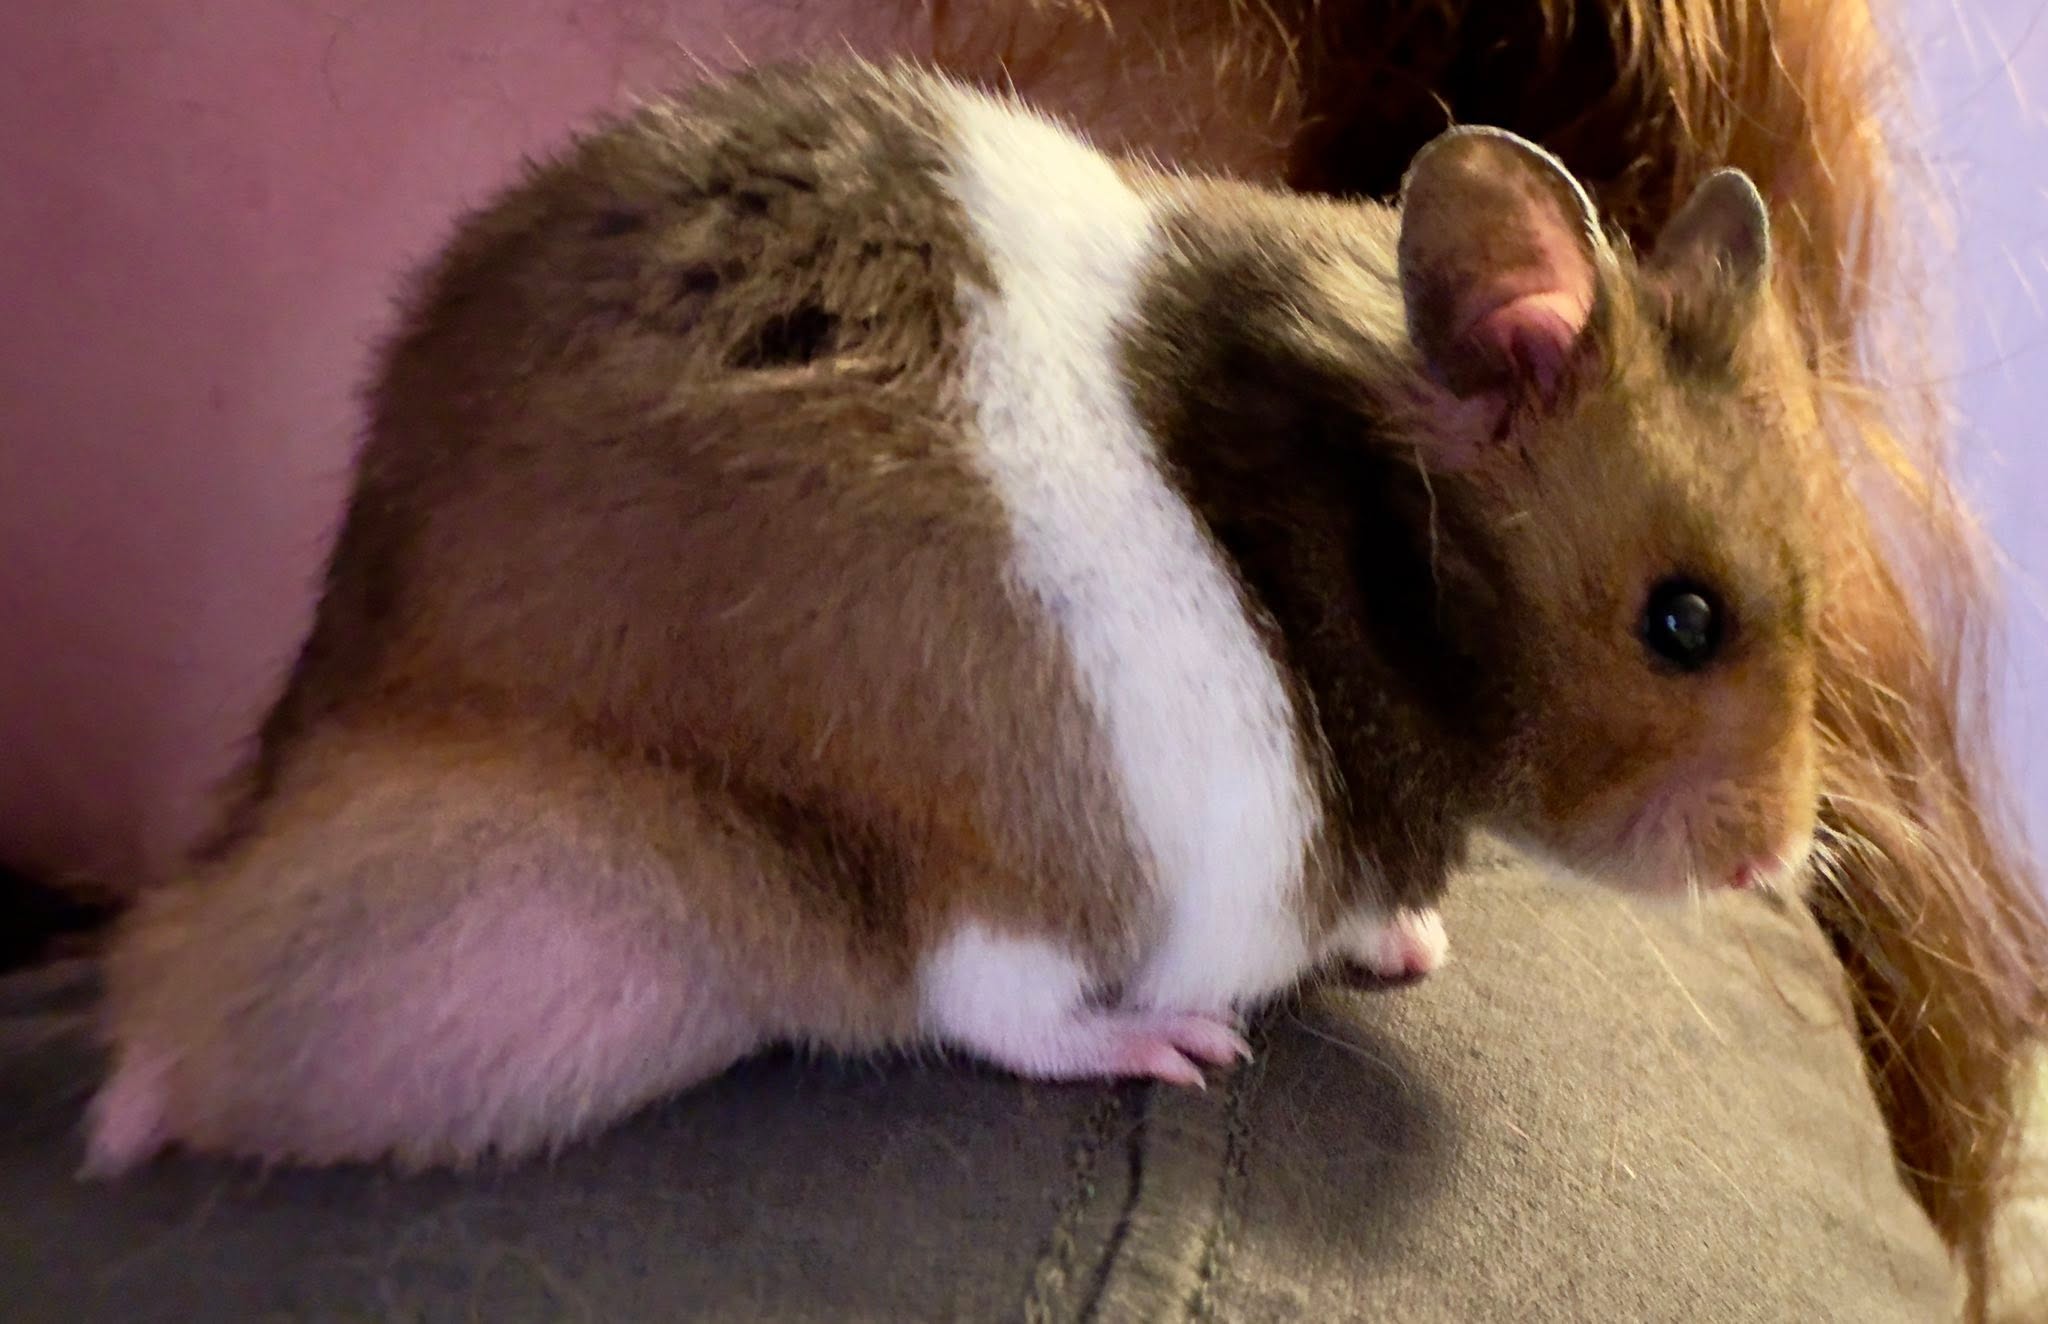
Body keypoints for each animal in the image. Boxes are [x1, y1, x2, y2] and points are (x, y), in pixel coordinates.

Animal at [82, 59, 1820, 1173]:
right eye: (1684, 621)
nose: (1781, 860)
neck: (1366, 541)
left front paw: (1420, 938)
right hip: (979, 823)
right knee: (979, 1003)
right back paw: (1175, 1052)